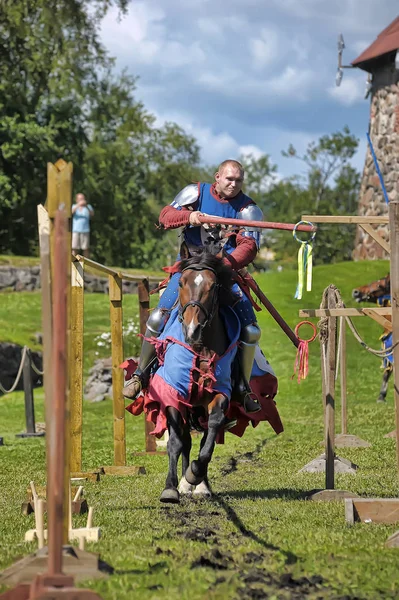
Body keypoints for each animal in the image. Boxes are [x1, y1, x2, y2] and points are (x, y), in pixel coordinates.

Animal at [123, 246, 282, 504]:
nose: (192, 329)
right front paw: (171, 487)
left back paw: (198, 484)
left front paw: (195, 475)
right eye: (181, 283)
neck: (199, 348)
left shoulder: (220, 394)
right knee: (184, 440)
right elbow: (176, 442)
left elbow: (211, 435)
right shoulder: (173, 393)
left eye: (213, 285)